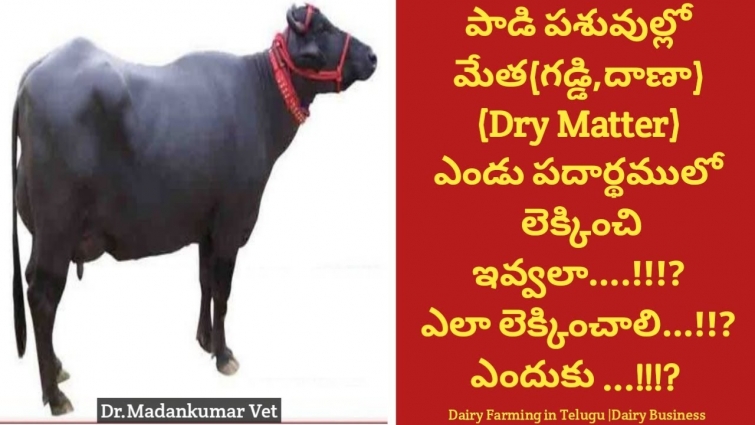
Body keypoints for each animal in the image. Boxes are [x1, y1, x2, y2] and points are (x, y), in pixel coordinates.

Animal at [10, 3, 377, 416]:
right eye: (325, 28)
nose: (372, 56)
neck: (260, 97)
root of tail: (32, 77)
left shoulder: (207, 228)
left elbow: (204, 281)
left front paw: (205, 339)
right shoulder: (232, 223)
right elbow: (223, 289)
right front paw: (223, 354)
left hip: (40, 236)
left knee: (31, 282)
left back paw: (56, 367)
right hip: (58, 233)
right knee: (42, 298)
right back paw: (54, 394)